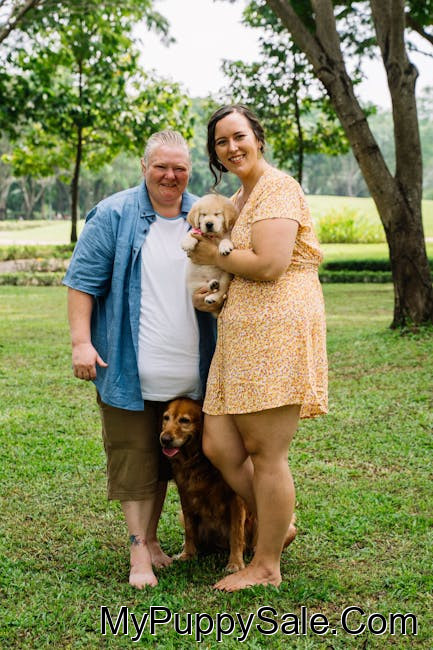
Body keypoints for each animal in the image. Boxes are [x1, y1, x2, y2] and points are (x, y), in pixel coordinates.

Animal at [160, 397, 255, 572]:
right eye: (166, 418)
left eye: (184, 420)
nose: (165, 440)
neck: (197, 460)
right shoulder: (185, 495)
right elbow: (190, 529)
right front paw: (188, 554)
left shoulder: (236, 499)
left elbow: (236, 533)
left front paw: (235, 563)